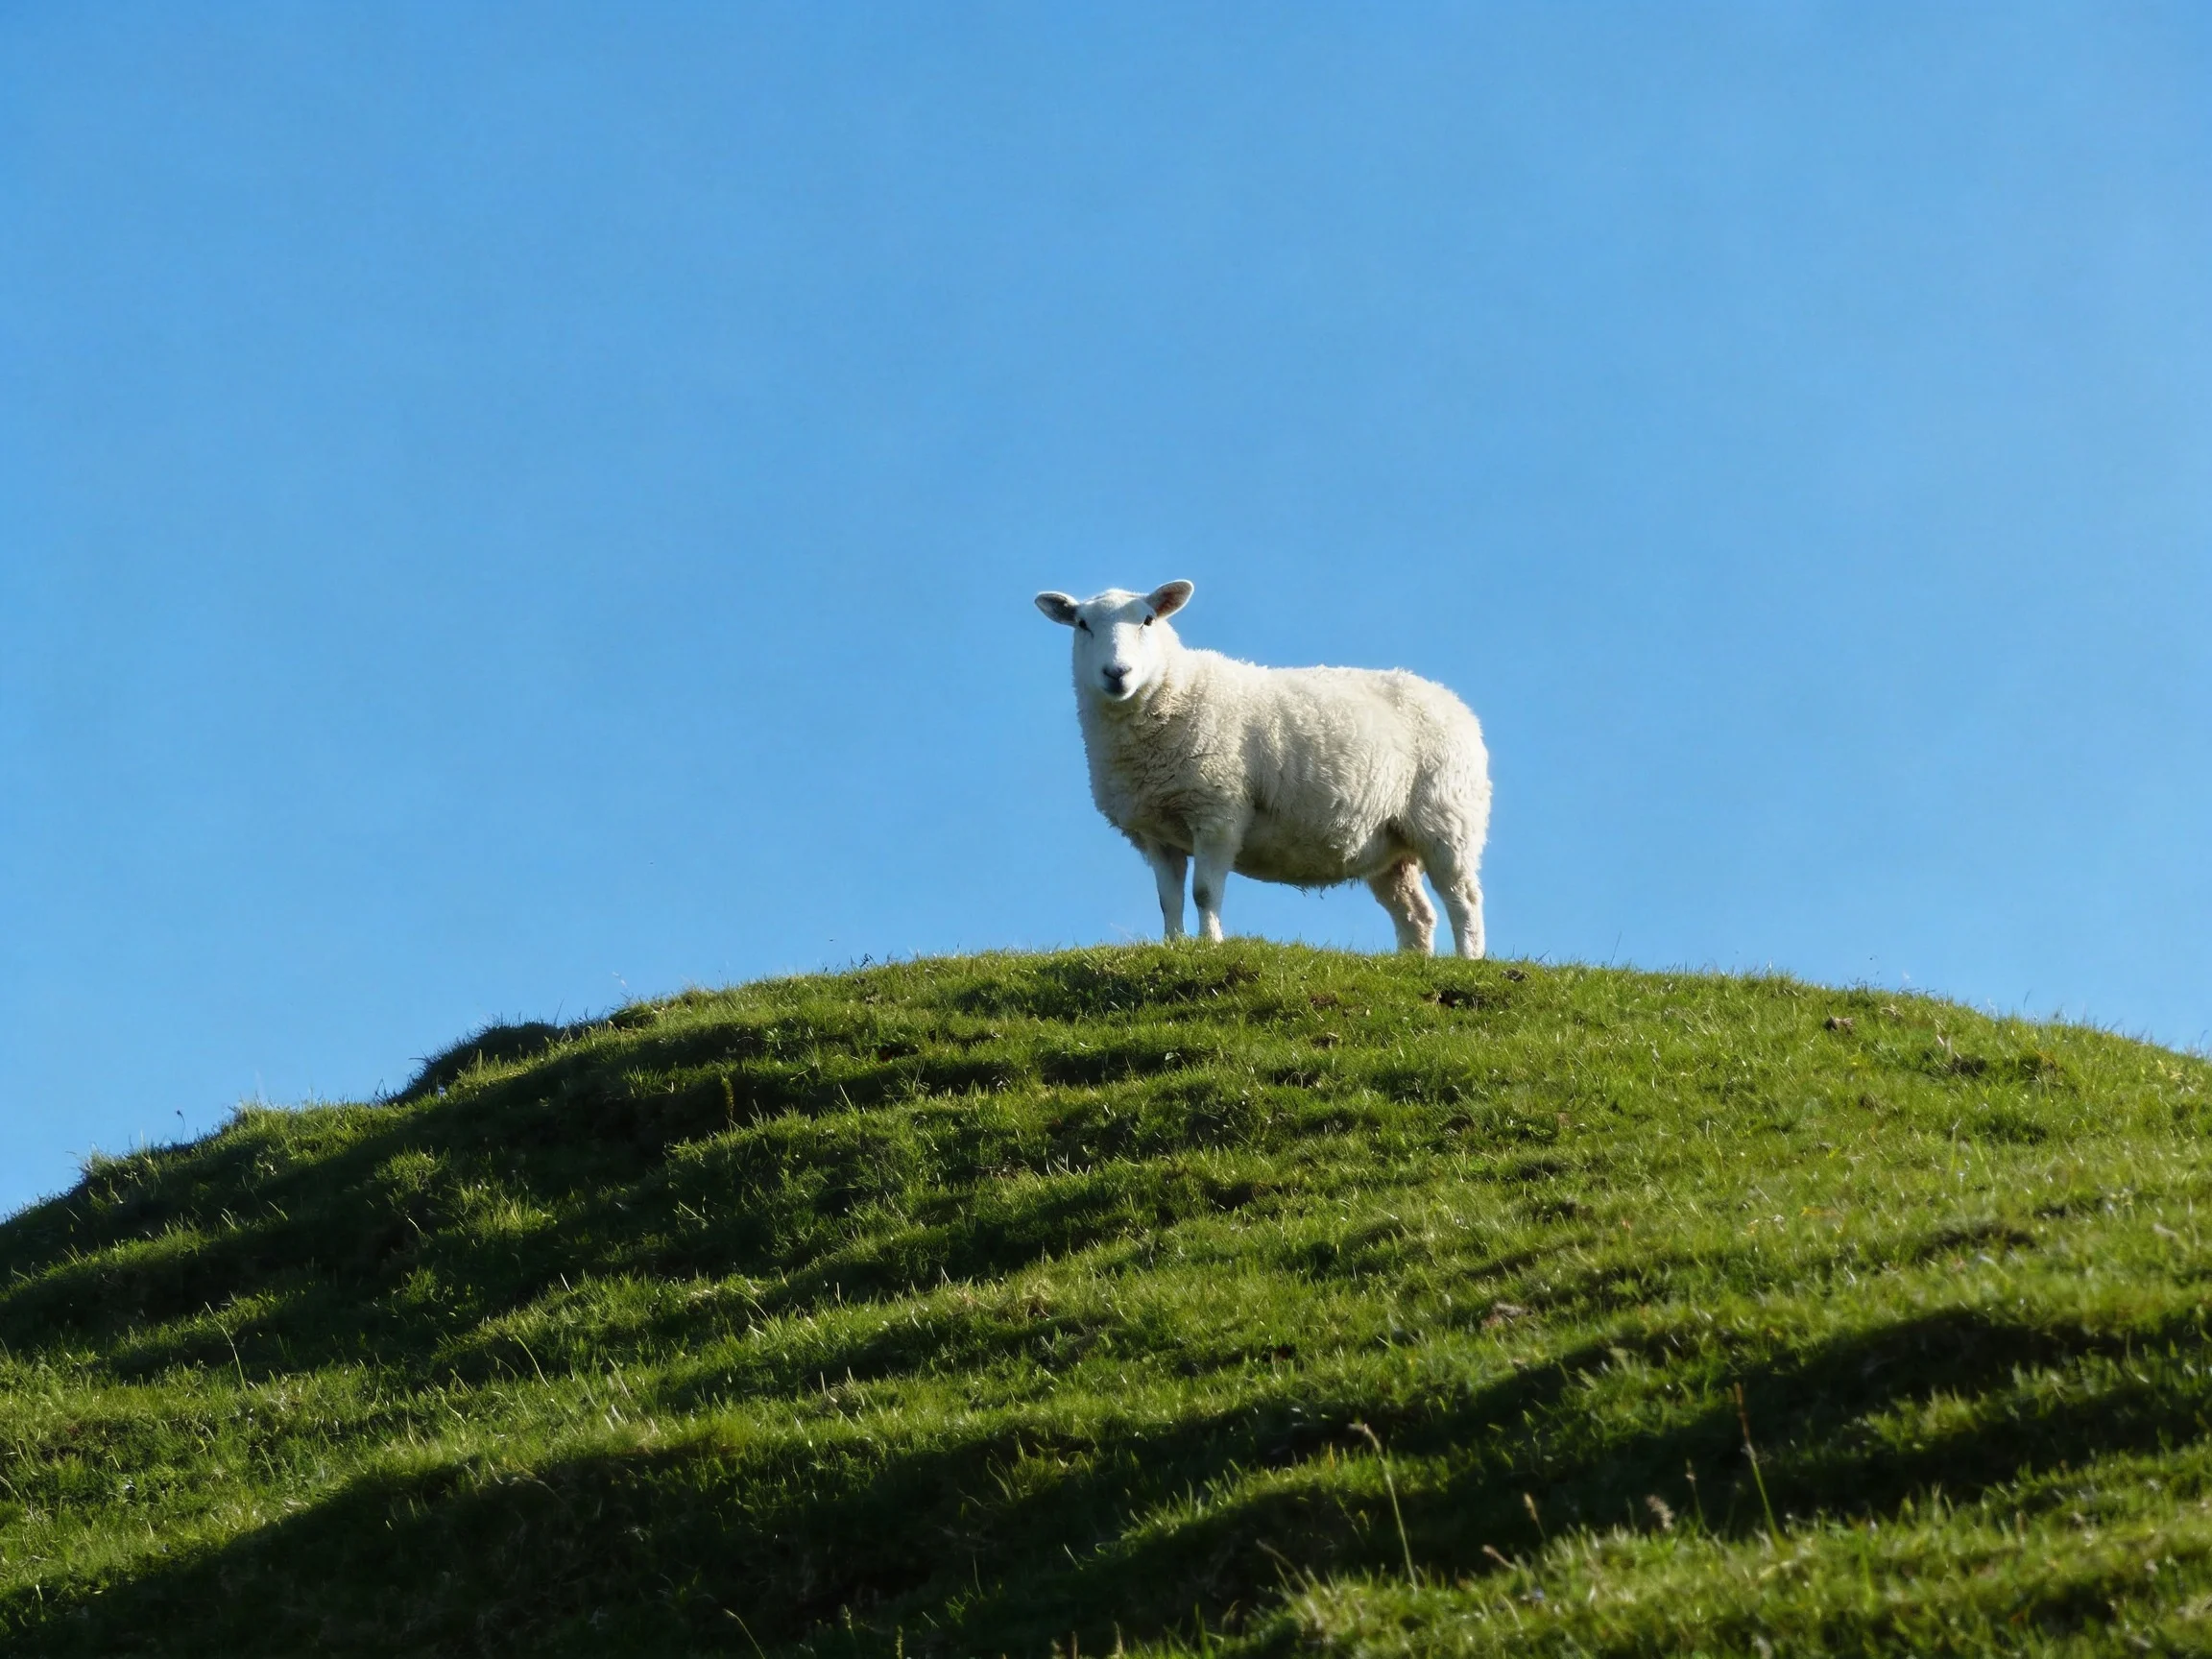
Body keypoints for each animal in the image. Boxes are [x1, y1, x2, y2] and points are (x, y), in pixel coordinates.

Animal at [1035, 580, 1490, 957]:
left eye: (1148, 619)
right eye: (1081, 624)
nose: (1117, 673)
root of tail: (1450, 700)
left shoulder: (1218, 812)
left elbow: (1203, 892)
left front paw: (1210, 946)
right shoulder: (1156, 830)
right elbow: (1169, 900)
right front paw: (1174, 946)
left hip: (1447, 819)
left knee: (1462, 898)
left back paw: (1468, 960)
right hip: (1390, 842)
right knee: (1416, 912)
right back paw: (1413, 965)